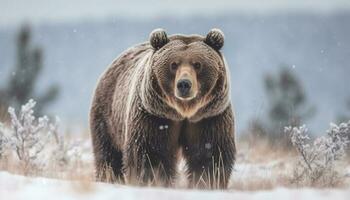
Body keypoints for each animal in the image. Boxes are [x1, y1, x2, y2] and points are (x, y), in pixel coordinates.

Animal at [90, 28, 237, 189]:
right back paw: (109, 178)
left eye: (198, 64)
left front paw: (207, 183)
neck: (183, 112)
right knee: (108, 154)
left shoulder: (208, 117)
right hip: (108, 115)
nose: (184, 84)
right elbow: (152, 154)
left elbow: (210, 154)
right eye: (174, 64)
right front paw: (154, 181)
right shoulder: (155, 116)